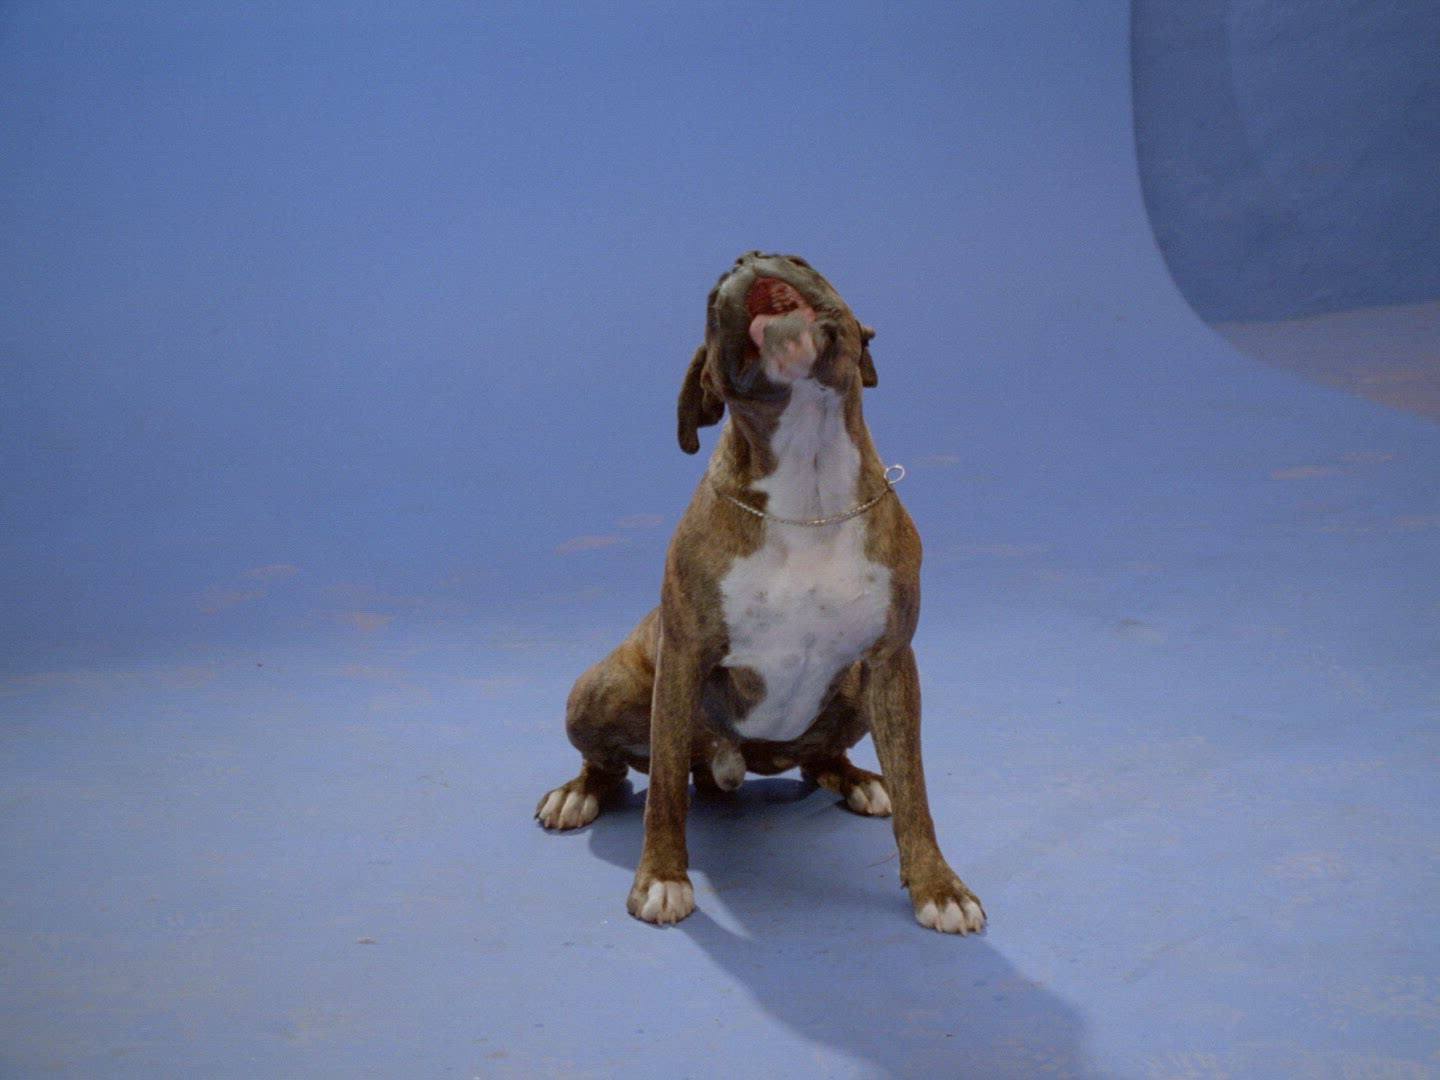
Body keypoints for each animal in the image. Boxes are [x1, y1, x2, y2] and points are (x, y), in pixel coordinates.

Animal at [536, 252, 985, 934]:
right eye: (710, 296)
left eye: (801, 260)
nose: (747, 258)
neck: (810, 483)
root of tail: (728, 762)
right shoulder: (683, 657)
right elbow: (663, 789)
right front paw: (661, 877)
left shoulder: (890, 663)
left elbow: (916, 789)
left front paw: (938, 885)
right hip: (598, 689)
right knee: (617, 768)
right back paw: (577, 793)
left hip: (855, 690)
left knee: (820, 759)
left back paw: (858, 779)